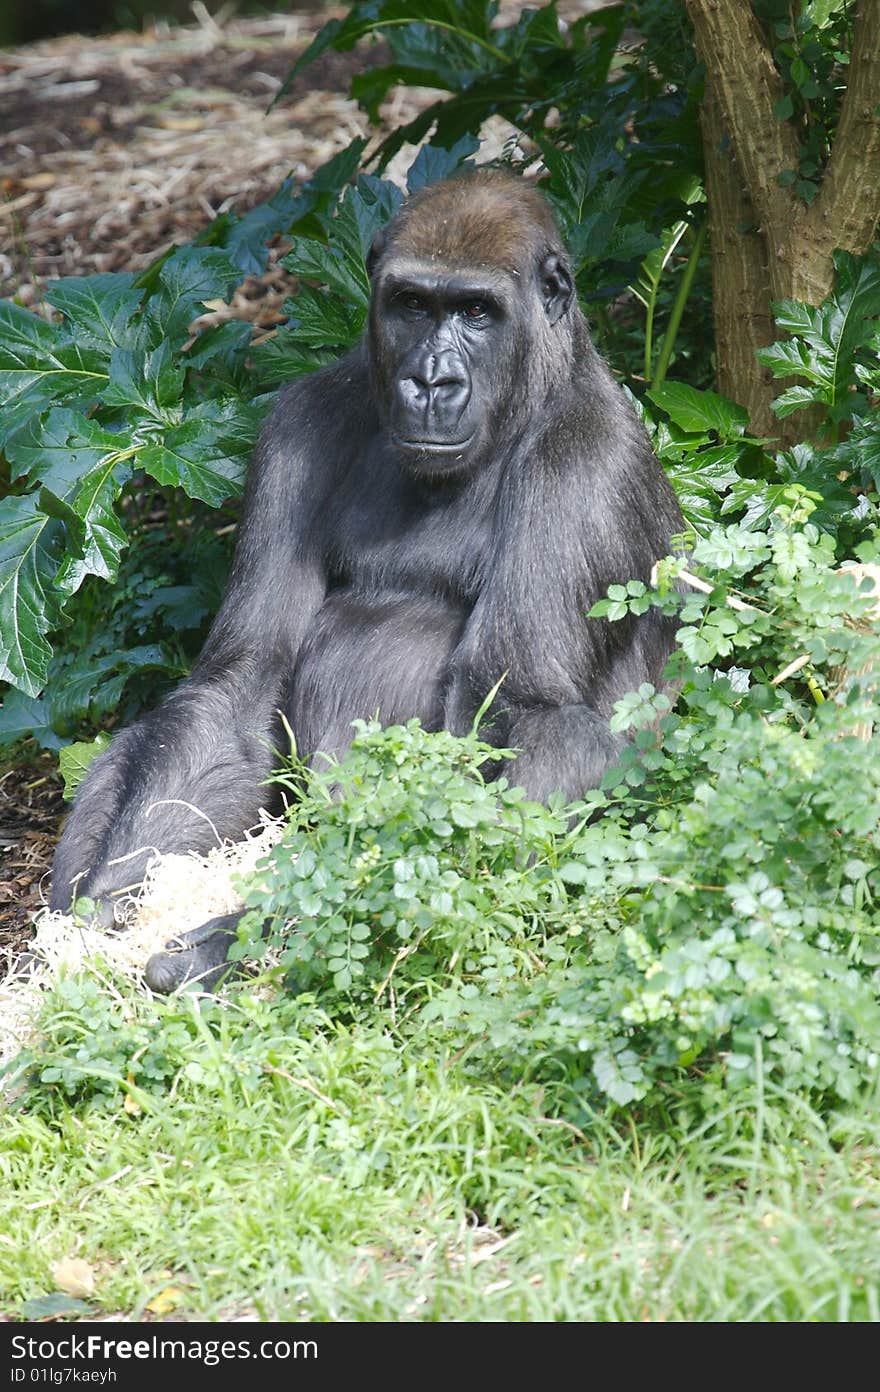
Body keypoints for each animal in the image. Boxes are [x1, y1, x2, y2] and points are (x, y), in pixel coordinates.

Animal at [48, 171, 685, 991]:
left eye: (476, 312)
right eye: (413, 305)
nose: (431, 381)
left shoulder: (585, 461)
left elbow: (520, 717)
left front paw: (242, 935)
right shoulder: (298, 422)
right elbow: (241, 682)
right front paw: (111, 901)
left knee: (565, 740)